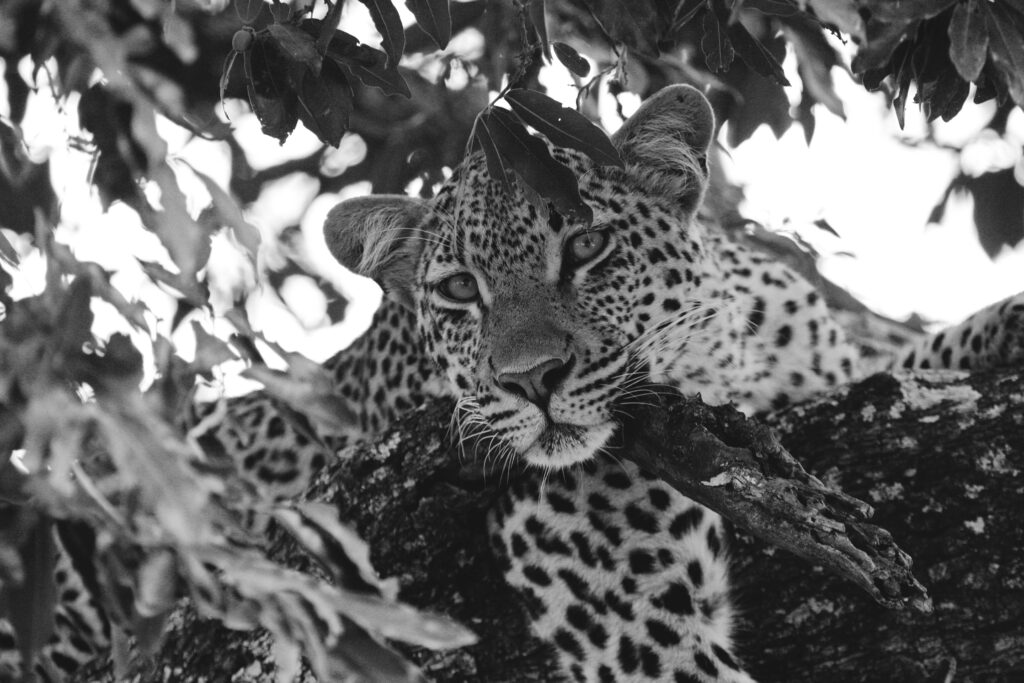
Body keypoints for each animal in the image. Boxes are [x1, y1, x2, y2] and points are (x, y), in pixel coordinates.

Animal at [4, 84, 1023, 682]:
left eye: (588, 247)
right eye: (460, 289)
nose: (534, 381)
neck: (716, 369)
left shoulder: (840, 371)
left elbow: (923, 354)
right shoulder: (625, 609)